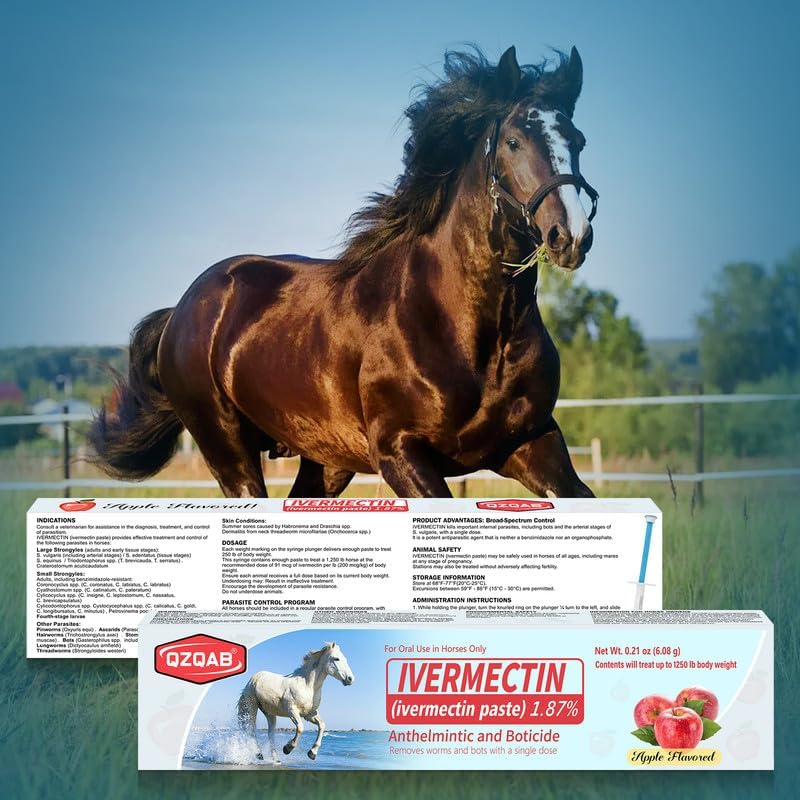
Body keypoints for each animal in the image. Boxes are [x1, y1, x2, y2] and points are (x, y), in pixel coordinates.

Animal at [89, 45, 598, 500]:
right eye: (513, 142)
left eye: (578, 141)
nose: (570, 235)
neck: (475, 332)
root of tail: (183, 309)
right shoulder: (399, 453)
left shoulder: (530, 442)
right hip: (228, 451)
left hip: (326, 459)